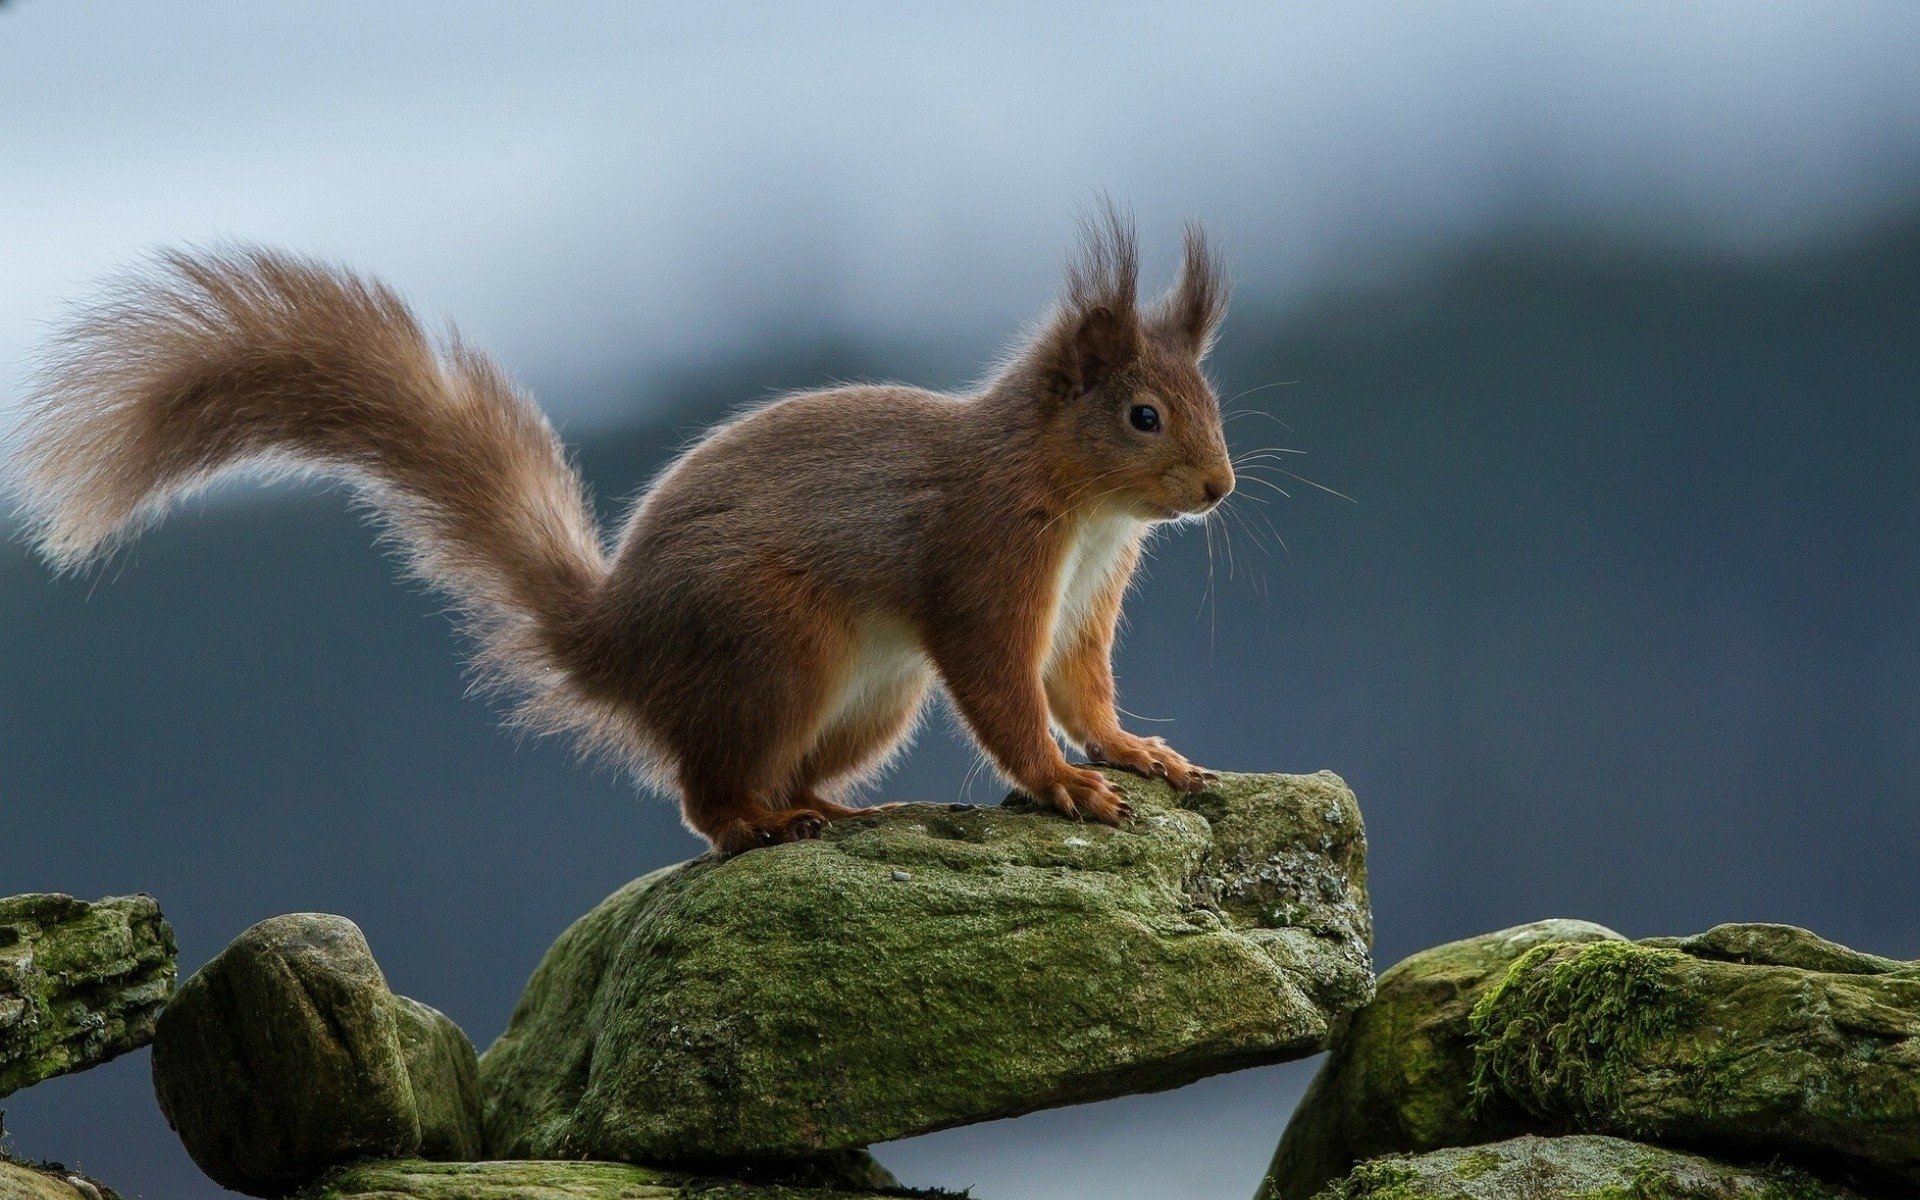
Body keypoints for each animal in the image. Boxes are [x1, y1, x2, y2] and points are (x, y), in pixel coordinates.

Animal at [10, 211, 1237, 855]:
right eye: (1144, 415)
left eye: (1211, 403)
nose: (1218, 487)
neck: (1079, 506)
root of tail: (615, 646)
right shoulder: (986, 560)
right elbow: (1002, 689)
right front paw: (1063, 784)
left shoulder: (1084, 597)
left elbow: (1079, 686)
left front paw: (1133, 752)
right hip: (778, 648)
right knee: (704, 795)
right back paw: (758, 825)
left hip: (870, 699)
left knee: (768, 773)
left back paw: (819, 806)